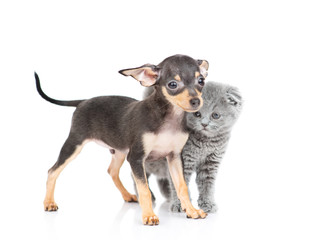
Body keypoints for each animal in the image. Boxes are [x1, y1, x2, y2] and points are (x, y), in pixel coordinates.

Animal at [142, 81, 243, 213]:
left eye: (215, 115)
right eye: (197, 114)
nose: (204, 124)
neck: (206, 143)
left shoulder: (210, 163)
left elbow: (207, 185)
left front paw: (207, 203)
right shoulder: (183, 159)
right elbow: (179, 183)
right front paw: (180, 204)